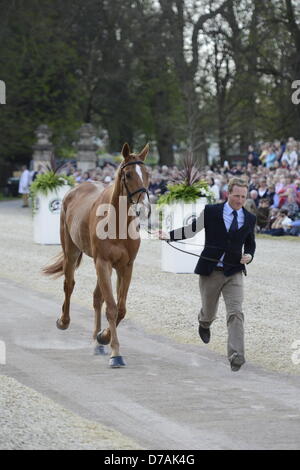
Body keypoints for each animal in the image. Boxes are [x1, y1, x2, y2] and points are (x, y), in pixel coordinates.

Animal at [42, 143, 149, 368]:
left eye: (147, 174)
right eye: (128, 174)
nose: (143, 207)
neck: (117, 222)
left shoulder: (126, 266)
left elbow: (120, 308)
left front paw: (103, 337)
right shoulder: (103, 263)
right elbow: (112, 308)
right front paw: (116, 353)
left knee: (97, 297)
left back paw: (96, 341)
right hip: (71, 251)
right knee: (69, 285)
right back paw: (63, 321)